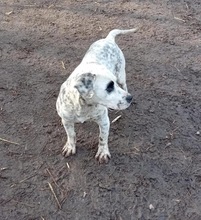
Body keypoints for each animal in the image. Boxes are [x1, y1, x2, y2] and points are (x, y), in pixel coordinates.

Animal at [56, 27, 138, 163]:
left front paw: (103, 152)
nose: (130, 98)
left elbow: (102, 138)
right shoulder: (66, 120)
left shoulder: (104, 121)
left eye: (113, 84)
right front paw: (70, 147)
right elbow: (71, 134)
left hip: (121, 75)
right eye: (109, 87)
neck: (83, 106)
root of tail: (108, 39)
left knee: (125, 85)